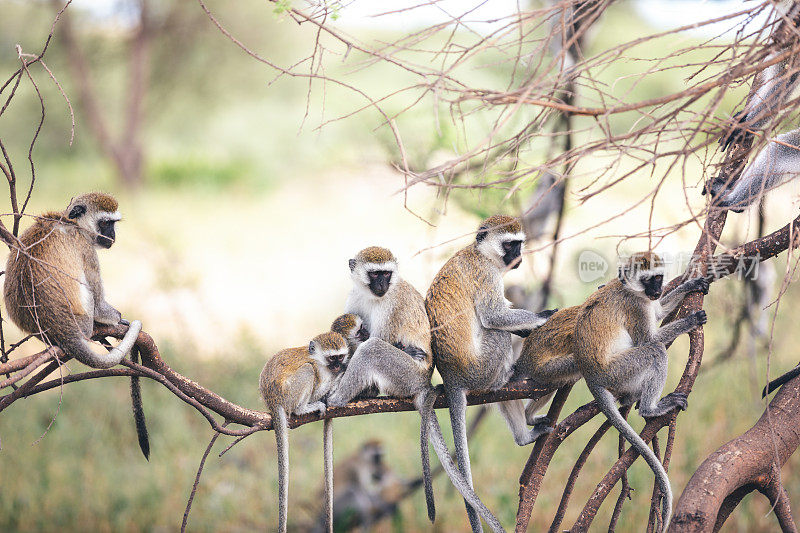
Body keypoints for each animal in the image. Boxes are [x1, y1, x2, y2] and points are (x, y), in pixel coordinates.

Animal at [326, 247, 504, 528]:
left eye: (386, 274)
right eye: (374, 274)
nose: (382, 285)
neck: (373, 297)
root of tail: (423, 383)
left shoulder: (392, 305)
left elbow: (377, 340)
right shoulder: (354, 299)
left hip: (404, 374)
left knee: (372, 349)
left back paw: (340, 397)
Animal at [424, 214, 556, 528]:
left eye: (519, 243)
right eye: (509, 245)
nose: (518, 256)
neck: (480, 253)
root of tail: (452, 377)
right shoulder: (486, 275)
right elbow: (494, 315)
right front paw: (544, 317)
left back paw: (524, 437)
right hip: (483, 368)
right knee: (497, 333)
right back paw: (511, 373)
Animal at [576, 251, 708, 528]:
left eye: (658, 277)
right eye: (648, 280)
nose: (656, 290)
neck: (632, 290)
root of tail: (591, 377)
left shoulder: (648, 302)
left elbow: (659, 313)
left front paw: (691, 284)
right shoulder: (636, 307)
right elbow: (651, 340)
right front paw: (690, 320)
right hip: (618, 371)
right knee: (655, 351)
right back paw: (650, 408)